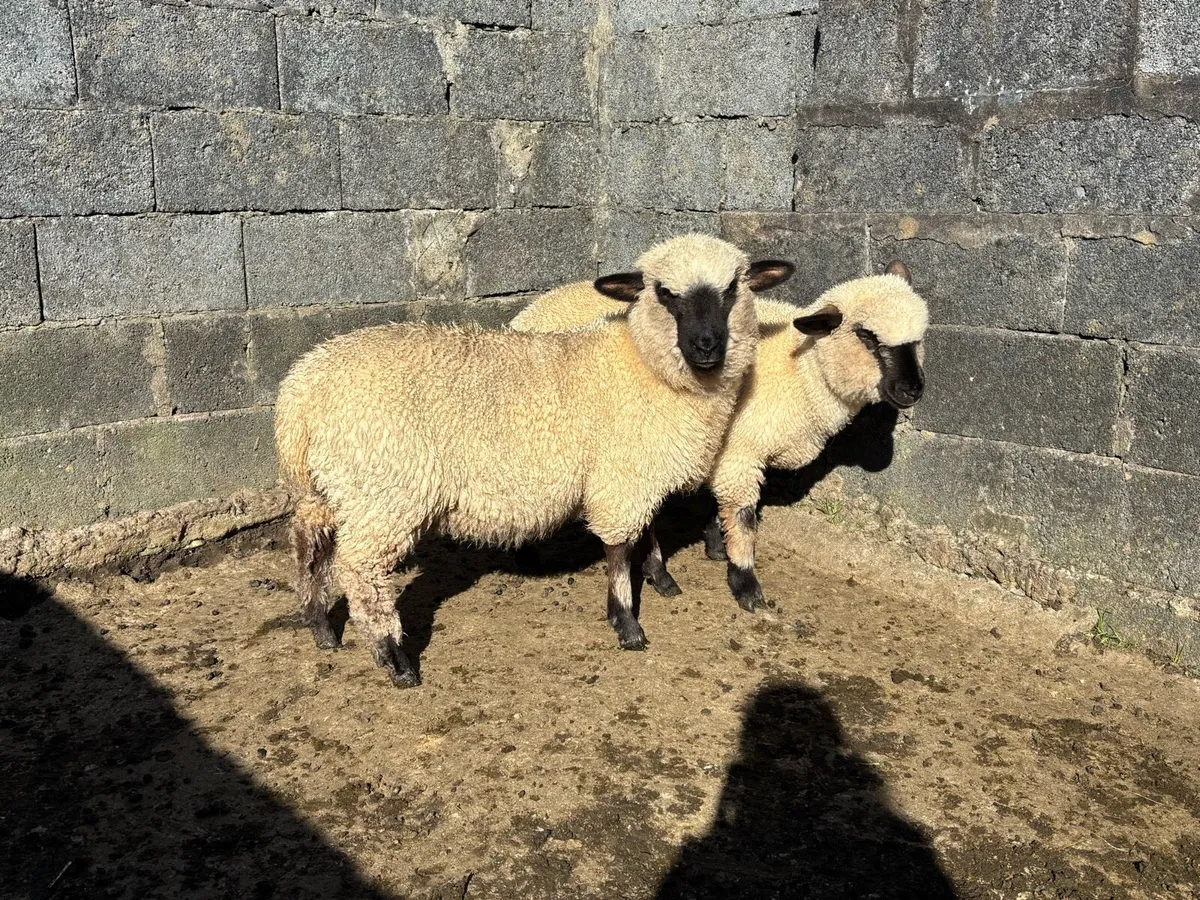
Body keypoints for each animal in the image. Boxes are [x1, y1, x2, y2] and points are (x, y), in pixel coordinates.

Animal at [274, 234, 795, 687]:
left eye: (733, 288)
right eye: (664, 293)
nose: (706, 345)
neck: (642, 367)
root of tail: (299, 395)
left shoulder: (636, 473)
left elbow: (644, 532)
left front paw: (661, 579)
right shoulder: (622, 477)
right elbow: (619, 550)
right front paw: (627, 622)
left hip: (326, 489)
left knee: (309, 548)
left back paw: (321, 628)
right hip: (384, 492)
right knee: (360, 572)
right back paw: (395, 659)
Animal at [510, 260, 928, 612]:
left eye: (920, 337)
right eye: (866, 336)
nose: (913, 390)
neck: (800, 372)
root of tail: (534, 308)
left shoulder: (727, 453)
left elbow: (722, 506)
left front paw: (716, 544)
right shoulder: (740, 452)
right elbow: (743, 517)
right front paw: (745, 584)